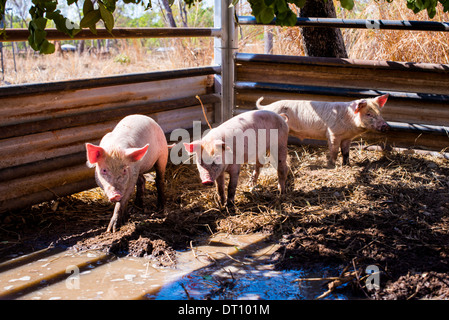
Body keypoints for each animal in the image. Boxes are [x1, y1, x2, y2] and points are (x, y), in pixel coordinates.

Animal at [256, 94, 388, 168]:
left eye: (379, 113)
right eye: (368, 114)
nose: (385, 126)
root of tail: (267, 107)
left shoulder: (347, 138)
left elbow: (346, 152)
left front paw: (347, 165)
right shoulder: (333, 133)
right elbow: (334, 151)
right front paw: (331, 165)